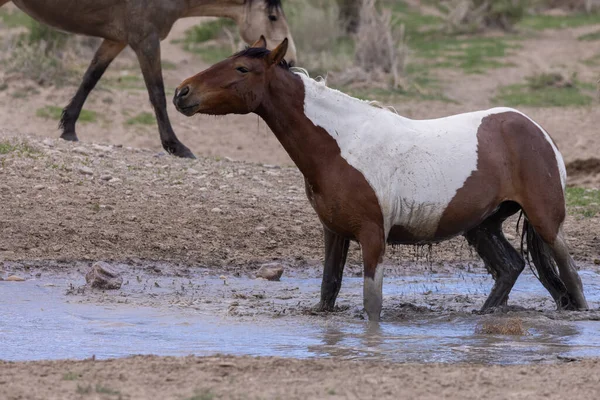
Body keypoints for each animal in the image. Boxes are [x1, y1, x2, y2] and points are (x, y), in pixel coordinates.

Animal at [175, 37, 592, 322]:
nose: (182, 92)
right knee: (510, 268)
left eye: (242, 70)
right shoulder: (334, 231)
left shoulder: (373, 235)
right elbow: (328, 289)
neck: (341, 145)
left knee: (570, 278)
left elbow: (371, 304)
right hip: (482, 226)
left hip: (545, 222)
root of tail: (536, 130)